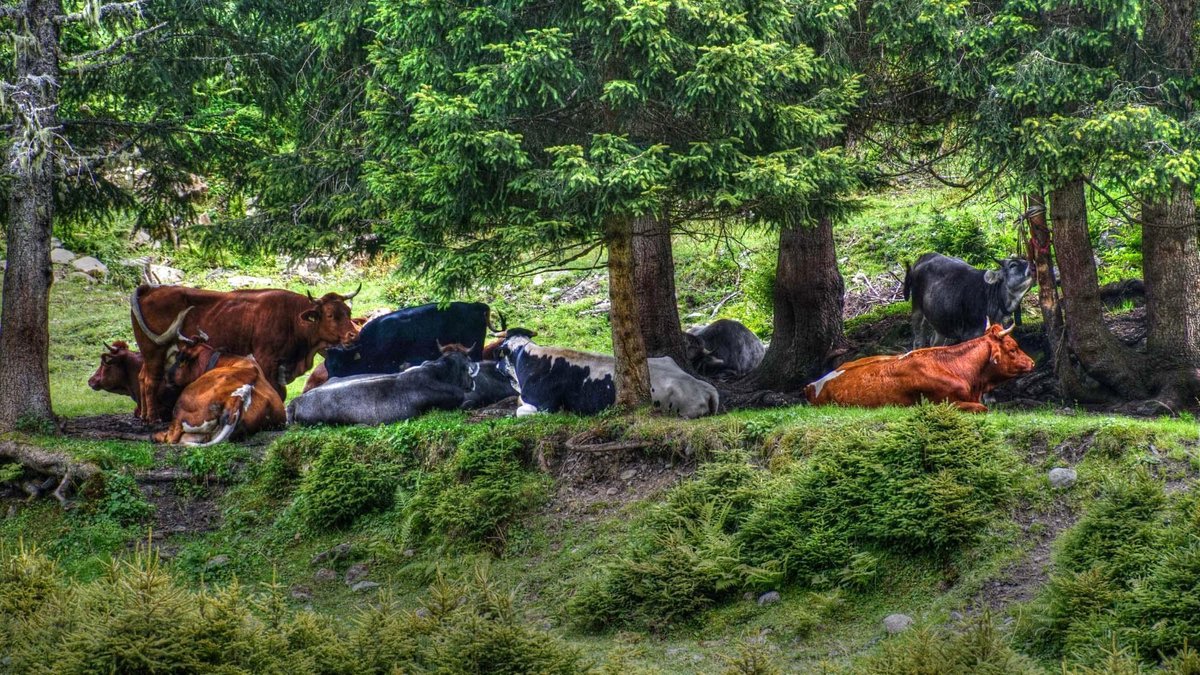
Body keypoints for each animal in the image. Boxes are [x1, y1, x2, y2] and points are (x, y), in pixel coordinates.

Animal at [130, 283, 359, 422]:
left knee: (141, 376)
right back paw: (152, 418)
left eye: (348, 312)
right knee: (150, 380)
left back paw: (142, 415)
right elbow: (277, 392)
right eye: (330, 315)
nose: (353, 335)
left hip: (149, 354)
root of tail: (150, 288)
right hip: (154, 352)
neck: (292, 318)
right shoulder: (266, 360)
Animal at [323, 302, 502, 378]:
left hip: (475, 347)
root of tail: (476, 305)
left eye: (338, 364)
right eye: (326, 365)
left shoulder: (390, 365)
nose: (331, 378)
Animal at [904, 253, 1034, 349]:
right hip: (917, 309)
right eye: (1013, 265)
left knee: (935, 342)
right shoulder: (970, 334)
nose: (1033, 265)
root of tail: (925, 256)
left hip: (940, 319)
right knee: (918, 340)